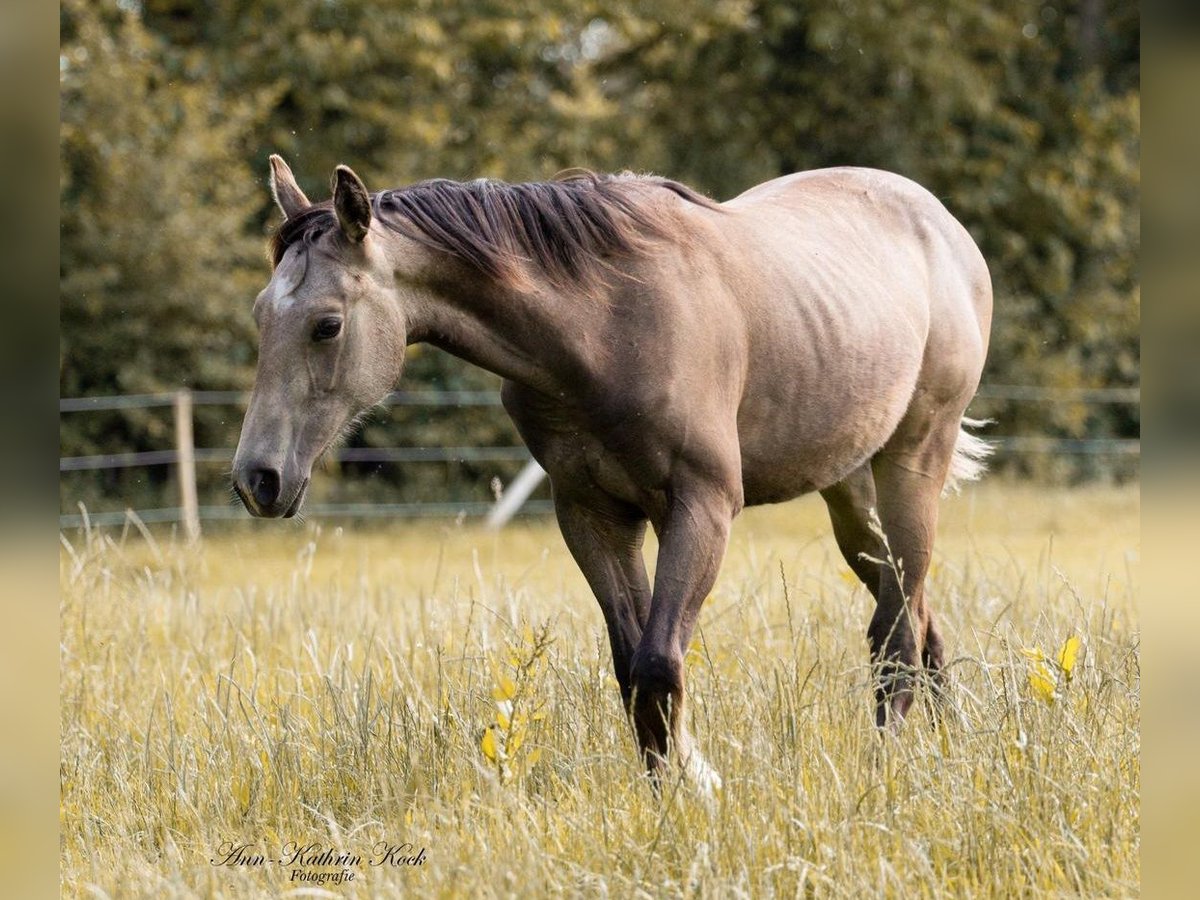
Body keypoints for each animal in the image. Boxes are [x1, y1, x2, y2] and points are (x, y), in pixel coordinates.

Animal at [233, 155, 992, 789]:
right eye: (261, 316)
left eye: (327, 325)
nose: (256, 479)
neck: (605, 326)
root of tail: (941, 223)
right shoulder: (592, 514)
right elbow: (633, 670)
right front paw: (666, 791)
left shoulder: (701, 508)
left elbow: (660, 664)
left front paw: (698, 786)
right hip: (849, 489)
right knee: (911, 606)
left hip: (913, 461)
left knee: (898, 624)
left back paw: (888, 760)